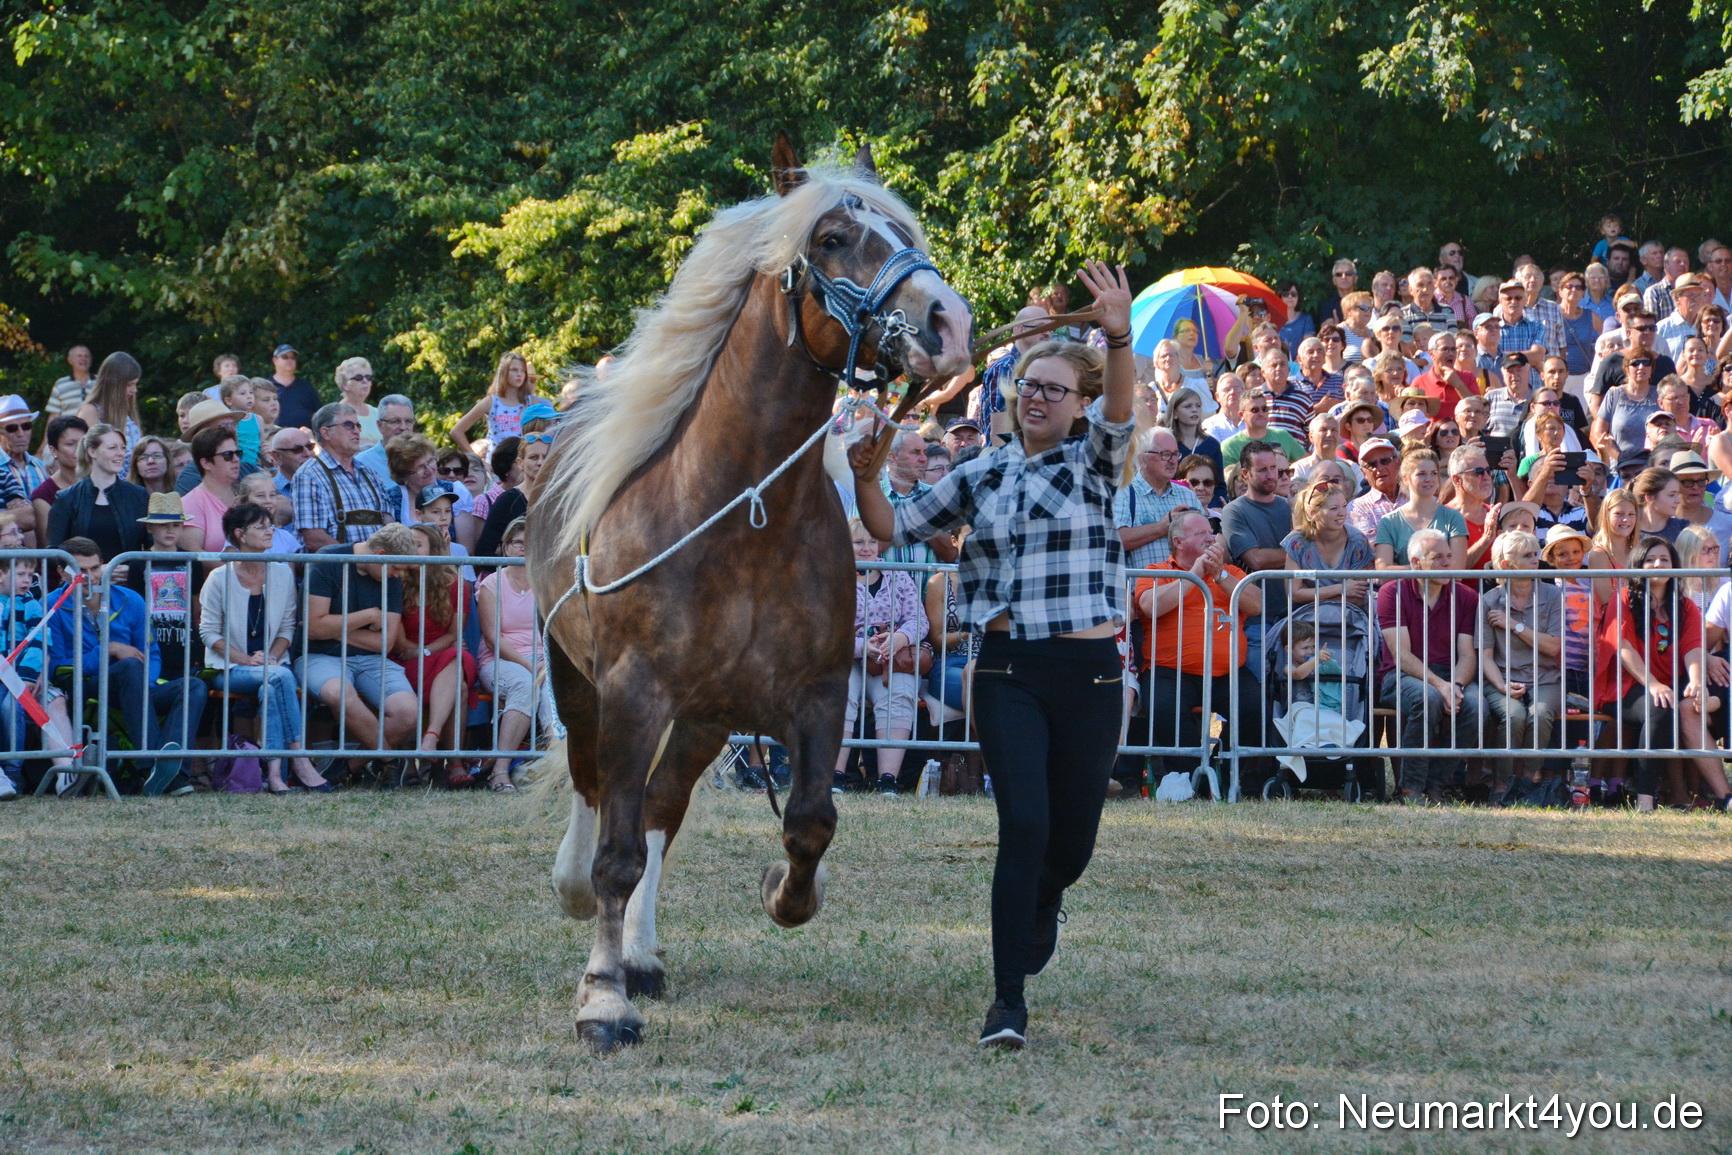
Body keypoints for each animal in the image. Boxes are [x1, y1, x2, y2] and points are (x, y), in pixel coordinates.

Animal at [527, 135, 972, 1052]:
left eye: (905, 232)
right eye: (833, 239)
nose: (951, 324)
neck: (741, 513)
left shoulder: (817, 694)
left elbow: (807, 822)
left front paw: (784, 891)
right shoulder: (633, 695)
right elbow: (615, 853)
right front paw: (602, 998)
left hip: (701, 720)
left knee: (661, 809)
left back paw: (643, 953)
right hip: (580, 683)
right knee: (595, 794)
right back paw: (585, 907)